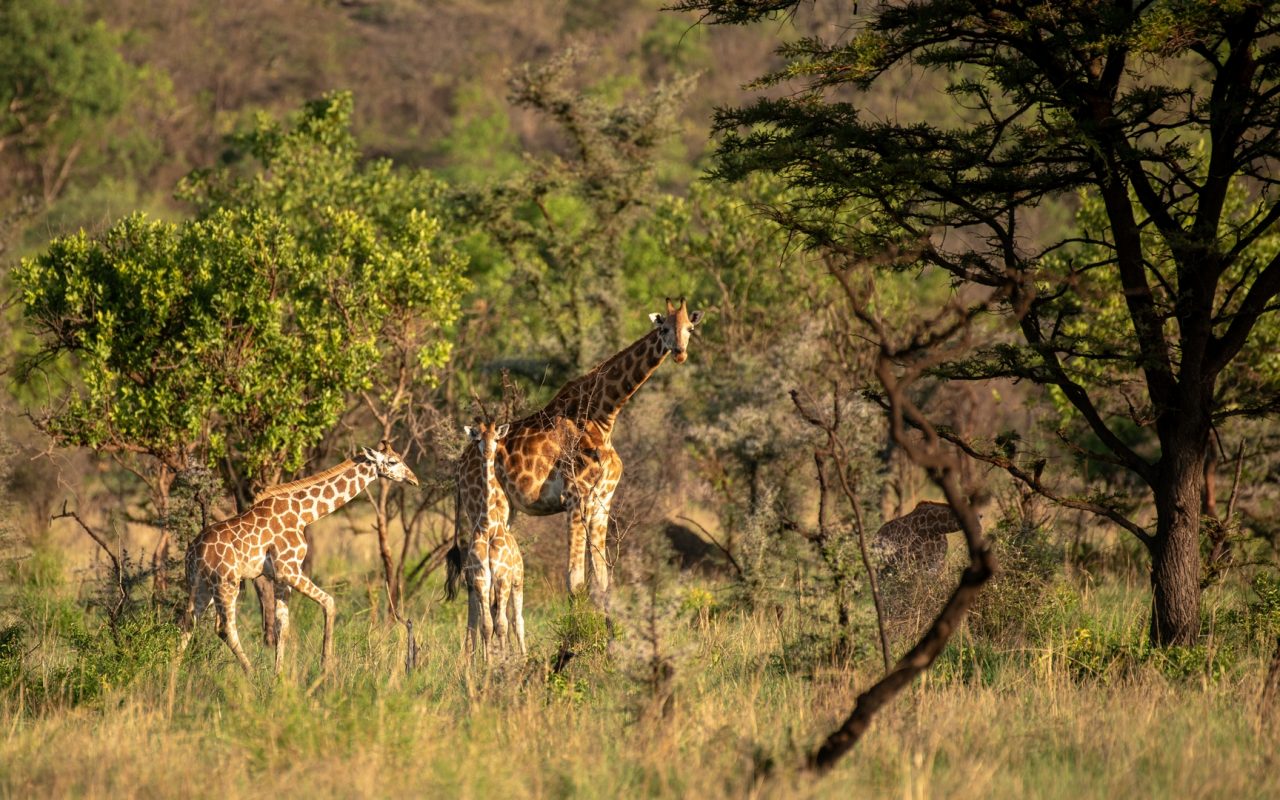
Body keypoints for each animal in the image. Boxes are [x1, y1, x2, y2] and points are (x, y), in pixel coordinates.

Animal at [177, 440, 417, 670]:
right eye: (393, 461)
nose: (414, 479)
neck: (303, 514)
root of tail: (192, 553)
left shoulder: (280, 577)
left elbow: (282, 625)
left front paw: (279, 675)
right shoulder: (288, 568)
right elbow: (329, 602)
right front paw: (326, 666)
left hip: (201, 585)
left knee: (188, 621)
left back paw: (173, 671)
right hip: (227, 583)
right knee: (224, 627)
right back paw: (251, 674)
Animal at [448, 296, 711, 601]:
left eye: (690, 328)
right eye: (664, 328)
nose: (680, 353)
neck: (604, 416)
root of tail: (459, 466)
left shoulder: (602, 502)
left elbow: (602, 579)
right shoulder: (575, 497)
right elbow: (575, 581)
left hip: (506, 511)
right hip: (484, 508)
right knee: (477, 571)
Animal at [453, 422, 527, 660]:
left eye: (496, 438)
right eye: (478, 439)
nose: (487, 452)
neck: (487, 524)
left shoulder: (503, 577)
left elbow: (502, 625)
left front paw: (502, 660)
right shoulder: (480, 577)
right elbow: (487, 625)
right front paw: (489, 662)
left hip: (517, 580)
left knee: (517, 621)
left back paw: (524, 656)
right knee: (496, 618)